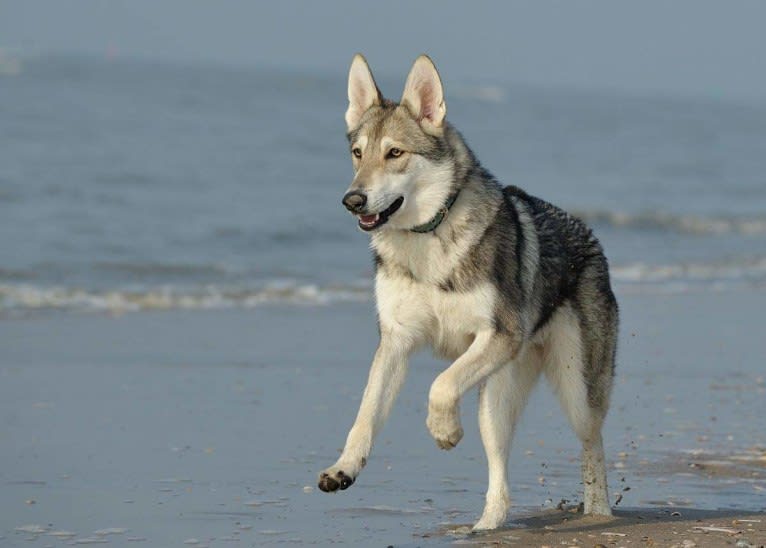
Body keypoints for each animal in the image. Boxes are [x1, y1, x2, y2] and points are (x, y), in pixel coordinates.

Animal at [316, 53, 620, 528]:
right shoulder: (396, 341)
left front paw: (445, 431)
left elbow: (440, 386)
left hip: (571, 394)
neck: (427, 239)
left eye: (395, 153)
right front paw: (343, 468)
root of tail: (590, 234)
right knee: (500, 472)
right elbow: (364, 416)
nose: (352, 200)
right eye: (358, 154)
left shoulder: (498, 336)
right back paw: (486, 524)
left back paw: (598, 515)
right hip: (497, 399)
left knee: (593, 445)